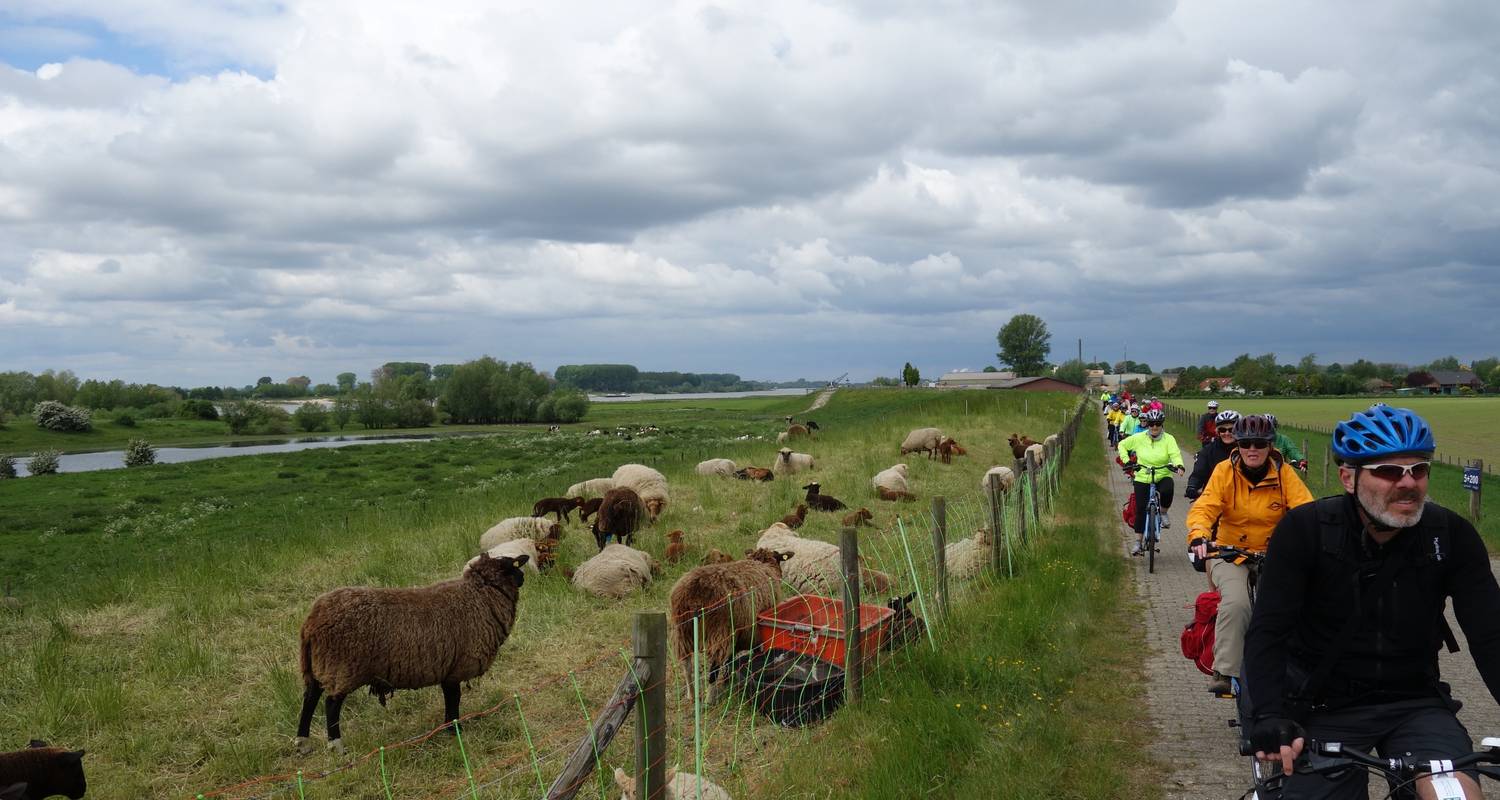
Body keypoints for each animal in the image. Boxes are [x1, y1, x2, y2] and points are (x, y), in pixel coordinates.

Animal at [292, 552, 528, 750]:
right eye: (512, 566)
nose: (524, 576)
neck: (481, 596)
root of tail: (312, 622)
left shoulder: (447, 668)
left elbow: (450, 698)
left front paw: (448, 728)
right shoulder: (456, 668)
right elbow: (454, 699)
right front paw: (455, 730)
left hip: (319, 664)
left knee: (310, 697)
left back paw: (302, 742)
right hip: (343, 667)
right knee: (331, 703)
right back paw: (336, 745)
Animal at [666, 549, 792, 687]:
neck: (764, 564)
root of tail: (695, 597)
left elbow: (730, 662)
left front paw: (728, 680)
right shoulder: (755, 635)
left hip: (682, 632)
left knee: (687, 666)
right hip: (721, 634)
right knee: (714, 671)